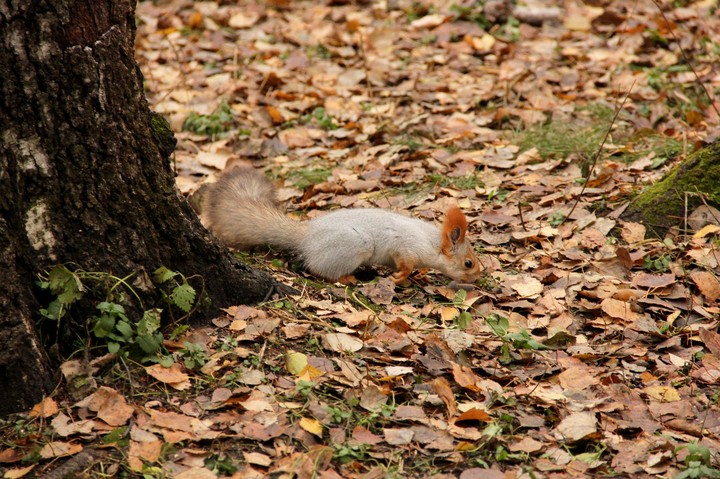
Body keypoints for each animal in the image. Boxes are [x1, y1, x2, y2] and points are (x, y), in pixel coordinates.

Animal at [202, 167, 481, 285]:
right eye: (468, 263)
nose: (478, 277)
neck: (431, 243)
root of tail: (306, 236)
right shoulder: (406, 246)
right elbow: (405, 263)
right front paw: (402, 276)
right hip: (354, 246)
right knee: (319, 269)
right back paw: (347, 278)